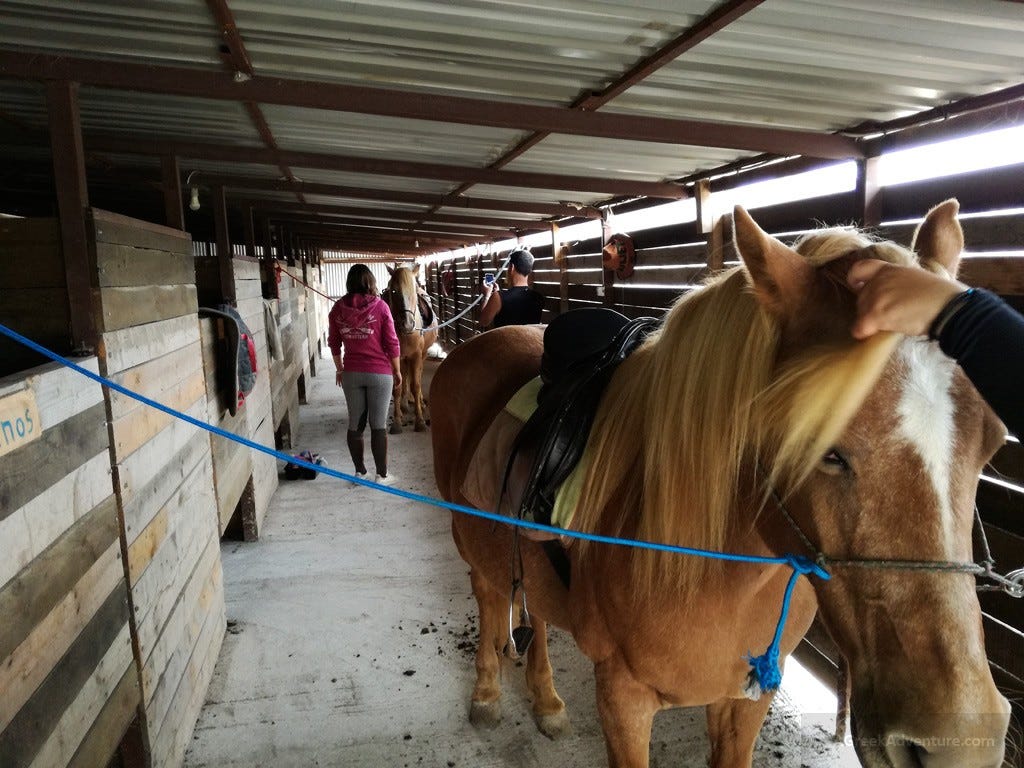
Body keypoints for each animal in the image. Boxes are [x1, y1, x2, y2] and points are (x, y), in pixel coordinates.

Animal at [382, 264, 434, 434]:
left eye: (413, 290)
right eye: (393, 291)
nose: (407, 324)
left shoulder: (417, 355)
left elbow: (415, 384)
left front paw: (420, 421)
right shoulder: (395, 357)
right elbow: (397, 387)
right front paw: (397, 421)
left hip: (422, 355)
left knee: (416, 374)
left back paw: (418, 402)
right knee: (405, 376)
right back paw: (405, 404)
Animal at [430, 202, 1007, 768]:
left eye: (993, 442)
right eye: (824, 447)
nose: (958, 740)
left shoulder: (745, 701)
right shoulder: (622, 699)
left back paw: (547, 701)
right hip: (468, 537)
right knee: (487, 595)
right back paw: (487, 693)